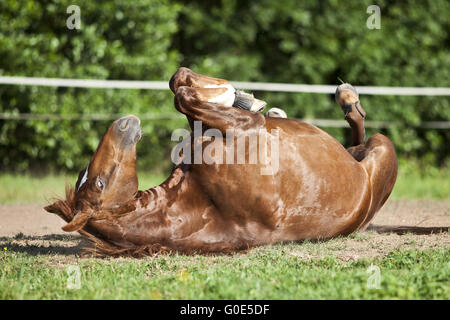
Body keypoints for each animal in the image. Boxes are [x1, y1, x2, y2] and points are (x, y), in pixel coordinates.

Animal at [45, 69, 398, 256]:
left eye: (89, 177)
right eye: (99, 183)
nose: (123, 123)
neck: (199, 203)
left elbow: (179, 87)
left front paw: (237, 95)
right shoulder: (246, 129)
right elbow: (184, 96)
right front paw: (237, 97)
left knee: (356, 137)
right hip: (382, 148)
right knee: (362, 134)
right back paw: (347, 98)